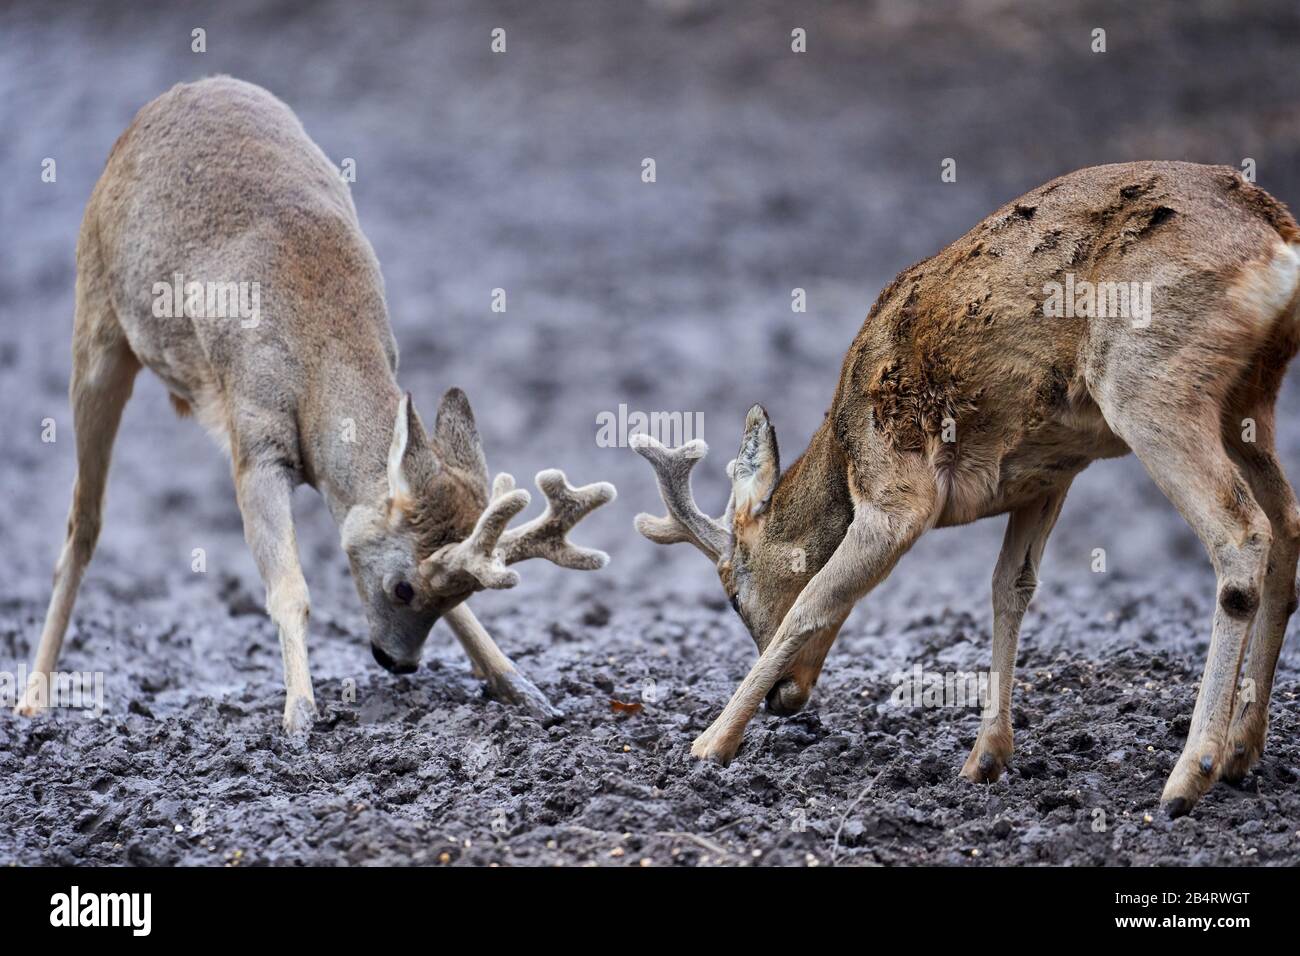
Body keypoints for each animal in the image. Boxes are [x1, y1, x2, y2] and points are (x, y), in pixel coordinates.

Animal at [15, 76, 613, 733]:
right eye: (403, 589)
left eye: (462, 593)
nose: (398, 663)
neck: (319, 342)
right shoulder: (255, 443)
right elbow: (290, 589)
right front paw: (300, 715)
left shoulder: (338, 477)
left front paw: (521, 686)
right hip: (95, 328)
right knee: (83, 521)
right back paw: (32, 700)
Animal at [634, 160, 1300, 816]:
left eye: (732, 596)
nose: (782, 698)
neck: (846, 451)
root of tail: (1278, 240)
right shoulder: (1050, 476)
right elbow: (1011, 589)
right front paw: (986, 757)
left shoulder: (898, 491)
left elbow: (813, 600)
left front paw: (710, 743)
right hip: (1249, 400)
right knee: (1288, 525)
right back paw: (1242, 749)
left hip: (1151, 380)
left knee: (1242, 533)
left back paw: (1190, 773)